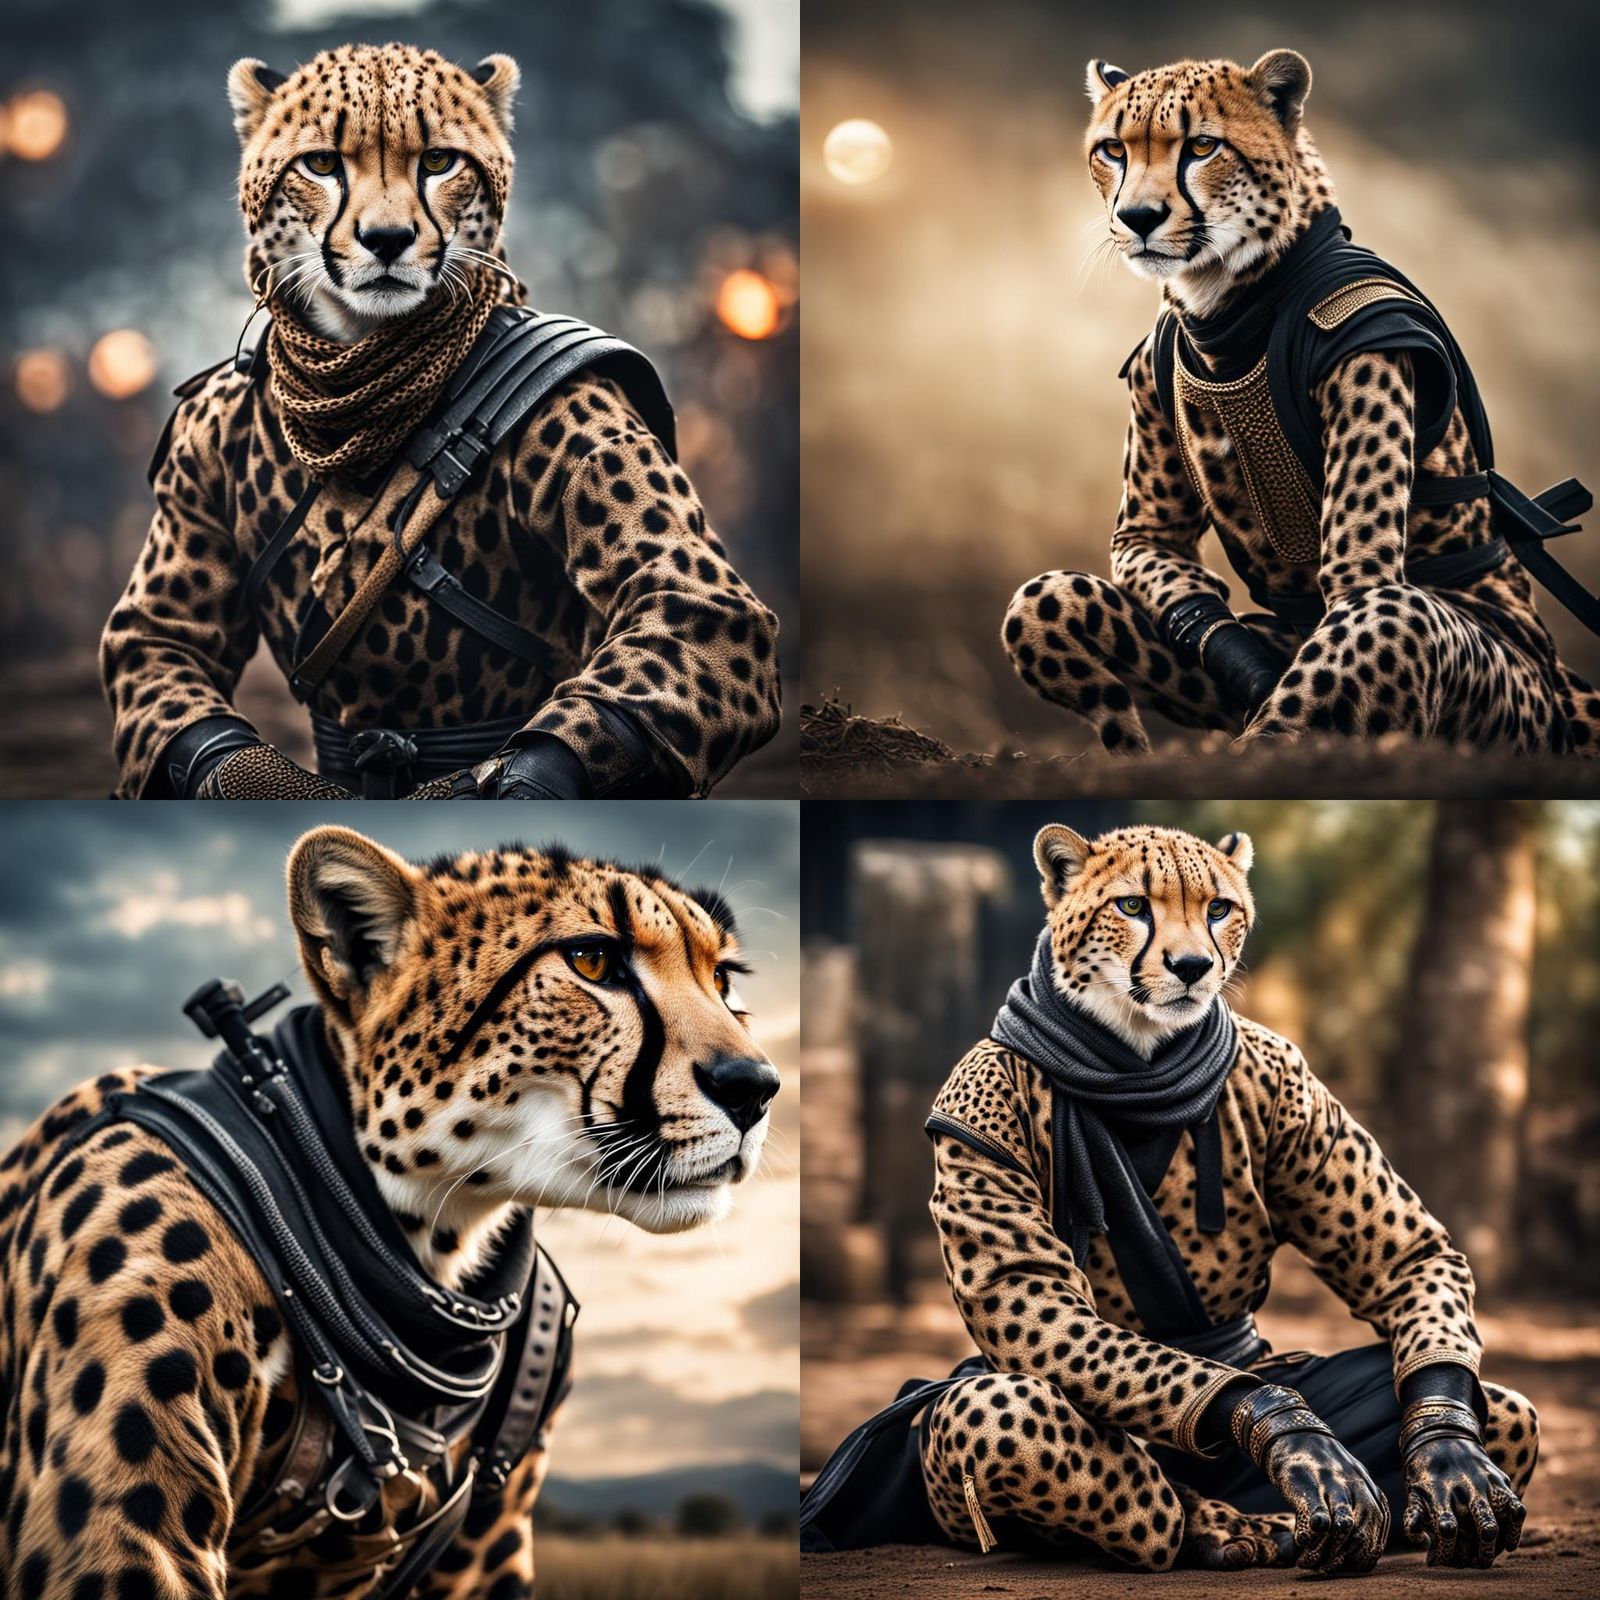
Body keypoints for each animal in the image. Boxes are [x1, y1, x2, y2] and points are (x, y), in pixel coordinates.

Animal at [99, 43, 782, 800]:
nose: (387, 239)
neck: (358, 378)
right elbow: (159, 637)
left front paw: (519, 781)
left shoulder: (586, 406)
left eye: (438, 161)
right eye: (321, 164)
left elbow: (694, 603)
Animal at [920, 824, 1538, 1569]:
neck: (1139, 1062)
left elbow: (1410, 1257)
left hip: (1496, 1409)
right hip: (987, 1419)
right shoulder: (976, 1126)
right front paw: (1304, 1447)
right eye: (1132, 906)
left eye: (1219, 909)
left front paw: (1450, 1460)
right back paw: (1225, 1528)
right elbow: (1031, 1293)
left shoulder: (1301, 1092)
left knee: (1505, 1405)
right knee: (1024, 1422)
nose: (1191, 966)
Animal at [1001, 49, 1600, 758]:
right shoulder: (1149, 452)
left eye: (1202, 146)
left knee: (1393, 617)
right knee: (1042, 600)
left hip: (1509, 705)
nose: (1138, 218)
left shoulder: (1366, 343)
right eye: (1113, 150)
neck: (1231, 299)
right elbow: (1153, 552)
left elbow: (1357, 594)